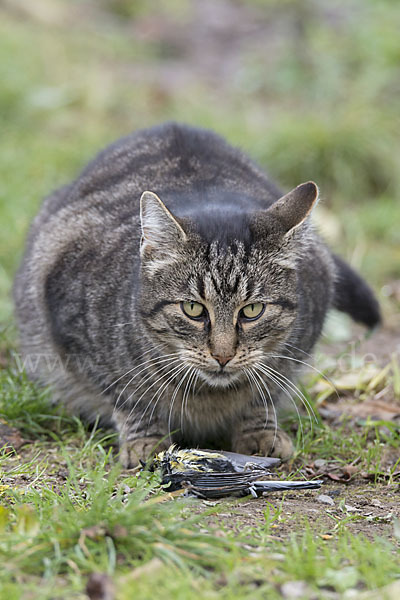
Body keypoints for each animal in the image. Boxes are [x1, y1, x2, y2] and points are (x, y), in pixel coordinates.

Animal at [13, 123, 382, 468]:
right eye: (193, 309)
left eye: (252, 310)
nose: (223, 355)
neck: (208, 395)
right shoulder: (78, 337)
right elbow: (128, 396)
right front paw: (146, 440)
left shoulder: (299, 341)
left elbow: (264, 394)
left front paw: (260, 432)